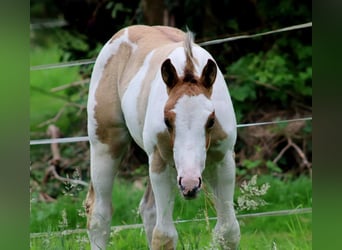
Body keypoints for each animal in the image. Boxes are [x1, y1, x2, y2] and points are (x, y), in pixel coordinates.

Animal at [85, 25, 240, 250]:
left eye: (211, 120)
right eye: (167, 120)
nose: (190, 184)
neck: (188, 67)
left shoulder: (223, 160)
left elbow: (228, 231)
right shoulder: (161, 163)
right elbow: (165, 236)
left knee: (148, 209)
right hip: (106, 144)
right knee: (99, 213)